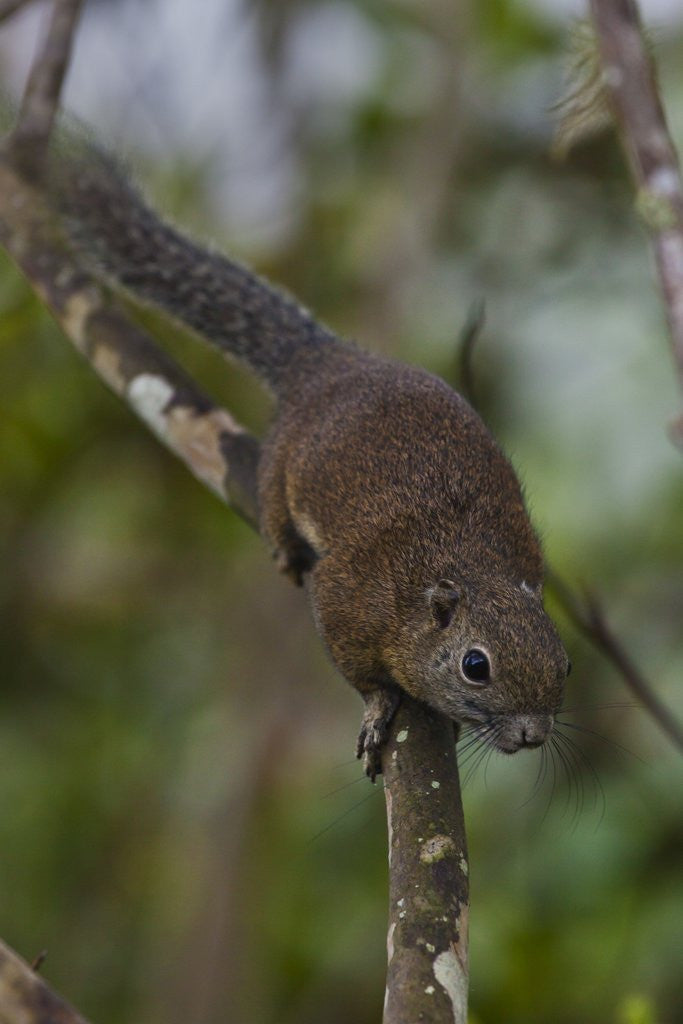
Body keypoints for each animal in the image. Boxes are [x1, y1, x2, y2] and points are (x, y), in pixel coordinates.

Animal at [53, 141, 570, 780]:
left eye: (565, 662)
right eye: (477, 665)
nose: (533, 733)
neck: (464, 564)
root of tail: (327, 362)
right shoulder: (349, 600)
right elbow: (361, 672)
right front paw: (379, 707)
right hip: (280, 465)